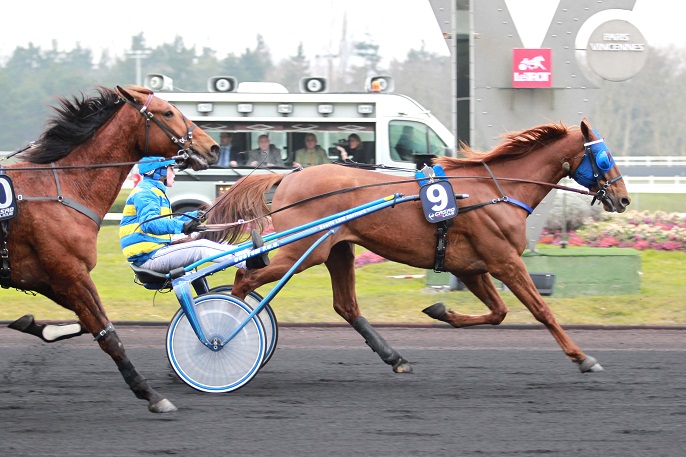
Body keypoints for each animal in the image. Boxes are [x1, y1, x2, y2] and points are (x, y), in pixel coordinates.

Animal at [2, 83, 218, 412]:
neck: (62, 188)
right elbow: (107, 333)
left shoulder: (46, 276)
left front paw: (39, 326)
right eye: (168, 112)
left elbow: (87, 322)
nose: (213, 147)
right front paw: (150, 394)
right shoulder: (70, 274)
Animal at [206, 117, 636, 374]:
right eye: (603, 156)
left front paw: (442, 310)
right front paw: (582, 357)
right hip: (303, 250)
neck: (497, 191)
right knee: (244, 279)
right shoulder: (504, 260)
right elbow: (541, 310)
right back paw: (224, 336)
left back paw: (395, 358)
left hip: (336, 250)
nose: (624, 199)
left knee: (346, 306)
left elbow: (497, 313)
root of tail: (288, 176)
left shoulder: (470, 266)